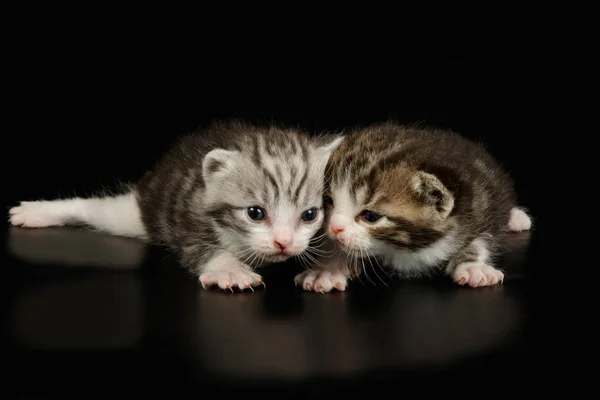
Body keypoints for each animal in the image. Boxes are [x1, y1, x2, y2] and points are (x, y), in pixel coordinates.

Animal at [9, 120, 342, 292]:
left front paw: (326, 271)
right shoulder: (187, 213)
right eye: (255, 213)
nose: (283, 242)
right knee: (98, 210)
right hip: (143, 212)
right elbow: (200, 247)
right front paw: (229, 269)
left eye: (309, 215)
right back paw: (38, 212)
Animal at [292, 120, 532, 292]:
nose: (334, 227)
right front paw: (327, 269)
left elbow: (483, 238)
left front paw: (473, 267)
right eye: (329, 201)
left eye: (371, 217)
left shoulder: (483, 199)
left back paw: (517, 218)